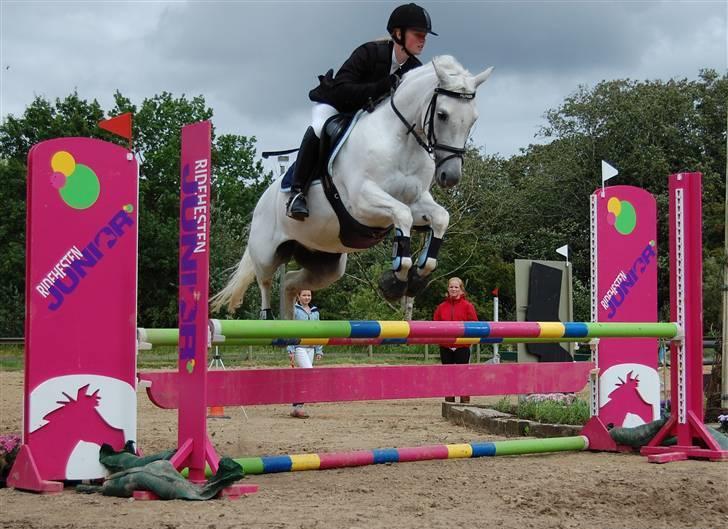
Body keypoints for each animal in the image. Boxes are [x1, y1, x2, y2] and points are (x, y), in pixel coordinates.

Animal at [213, 56, 492, 318]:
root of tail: (260, 203)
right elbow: (402, 216)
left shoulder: (415, 202)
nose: (450, 176)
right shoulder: (362, 202)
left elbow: (440, 218)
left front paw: (415, 277)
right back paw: (268, 317)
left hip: (326, 263)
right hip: (267, 253)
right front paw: (395, 281)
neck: (402, 142)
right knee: (265, 283)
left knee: (290, 282)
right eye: (442, 114)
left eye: (473, 119)